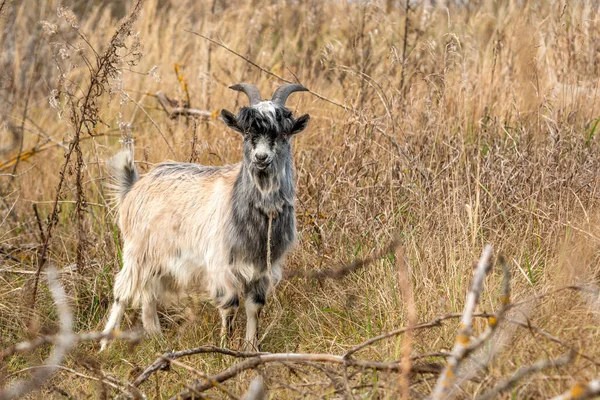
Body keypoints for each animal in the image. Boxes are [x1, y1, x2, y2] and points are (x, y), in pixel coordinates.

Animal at [101, 82, 310, 350]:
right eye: (246, 132)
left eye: (283, 134)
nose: (261, 158)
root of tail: (134, 187)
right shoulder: (221, 266)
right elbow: (229, 307)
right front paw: (224, 348)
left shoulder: (263, 269)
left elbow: (254, 307)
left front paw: (251, 348)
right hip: (137, 251)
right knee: (123, 292)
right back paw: (105, 345)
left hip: (159, 259)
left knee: (148, 293)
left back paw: (157, 339)